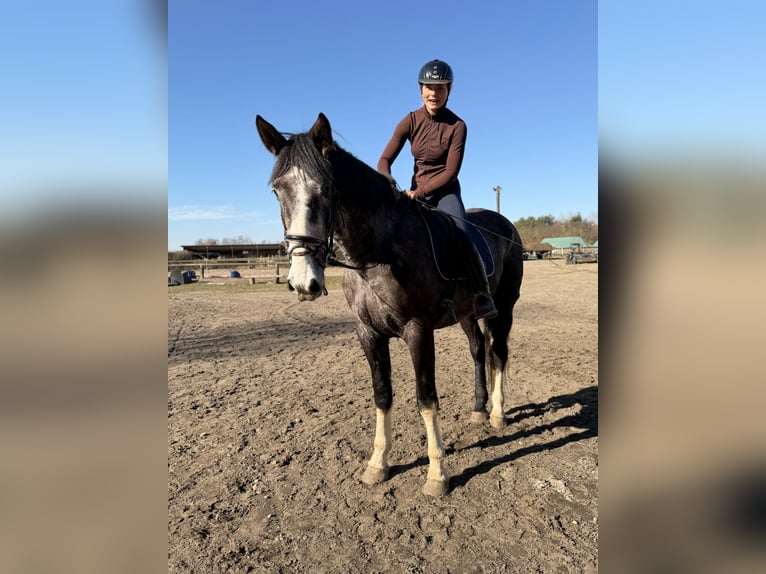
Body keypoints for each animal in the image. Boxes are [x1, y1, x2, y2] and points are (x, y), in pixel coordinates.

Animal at [255, 113, 523, 497]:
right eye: (278, 190)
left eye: (328, 189)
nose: (304, 282)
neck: (376, 255)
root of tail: (506, 226)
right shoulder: (368, 333)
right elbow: (382, 395)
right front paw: (377, 464)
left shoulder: (418, 330)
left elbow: (426, 398)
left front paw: (437, 474)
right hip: (468, 315)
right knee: (478, 352)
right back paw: (478, 410)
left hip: (504, 307)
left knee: (498, 353)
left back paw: (498, 414)